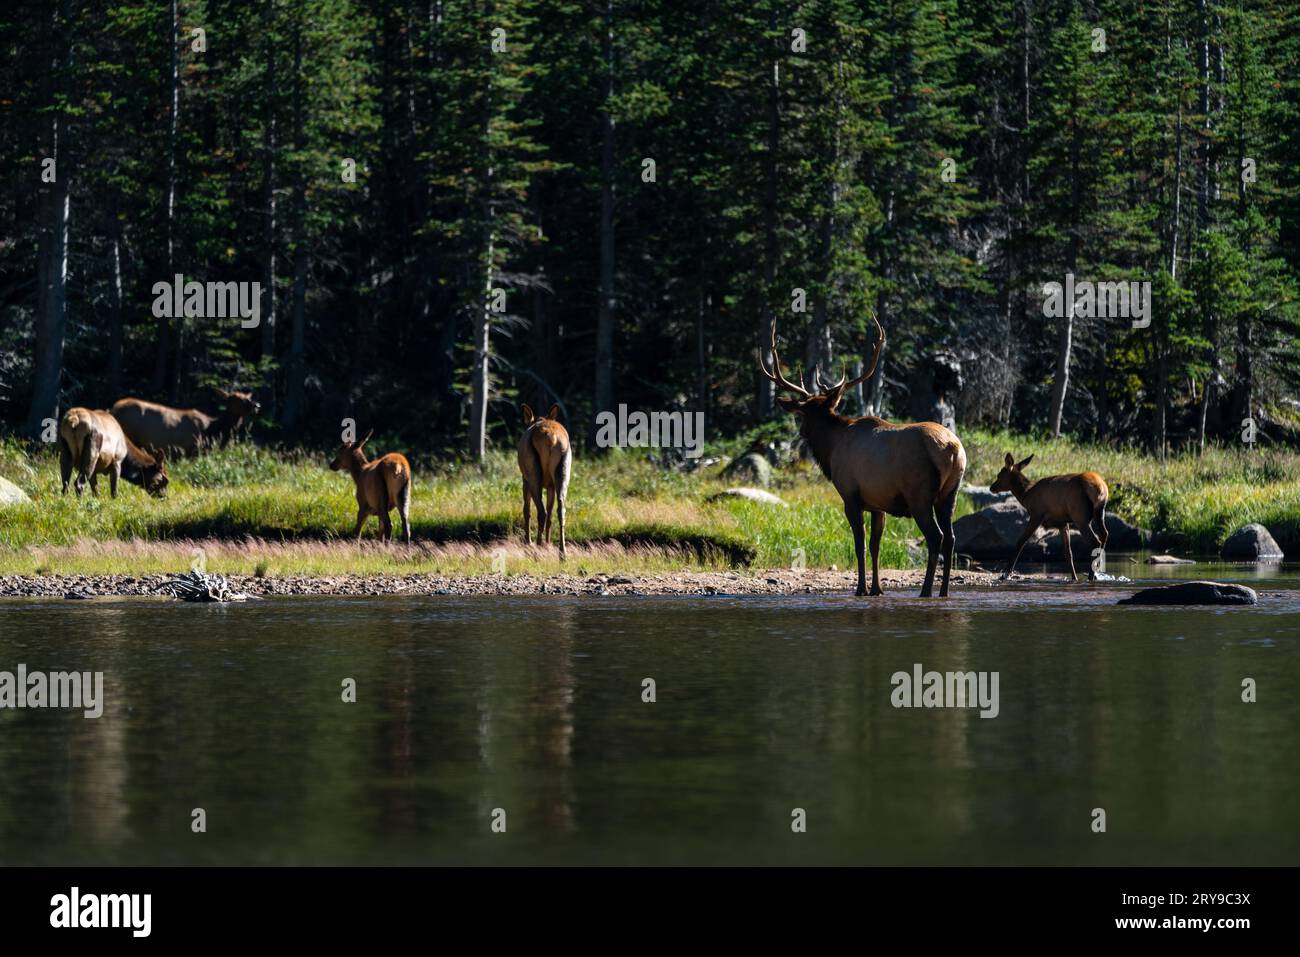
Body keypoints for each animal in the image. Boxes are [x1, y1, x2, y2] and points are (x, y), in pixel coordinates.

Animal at [110, 387, 260, 457]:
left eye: (246, 396)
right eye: (235, 398)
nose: (256, 405)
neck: (213, 431)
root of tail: (113, 409)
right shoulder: (193, 450)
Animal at [514, 403, 572, 553]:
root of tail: (552, 438)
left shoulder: (525, 480)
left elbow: (527, 511)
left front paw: (528, 541)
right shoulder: (551, 486)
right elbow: (551, 514)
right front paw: (548, 541)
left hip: (533, 476)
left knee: (541, 512)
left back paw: (537, 545)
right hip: (563, 471)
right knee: (560, 510)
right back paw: (562, 551)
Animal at [759, 317, 967, 595]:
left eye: (802, 413)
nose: (801, 431)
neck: (831, 448)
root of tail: (953, 449)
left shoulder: (850, 495)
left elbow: (859, 544)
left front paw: (861, 588)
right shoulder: (878, 504)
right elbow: (875, 545)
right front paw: (877, 588)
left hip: (920, 494)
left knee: (936, 537)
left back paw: (926, 591)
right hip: (950, 493)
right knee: (952, 537)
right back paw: (944, 591)